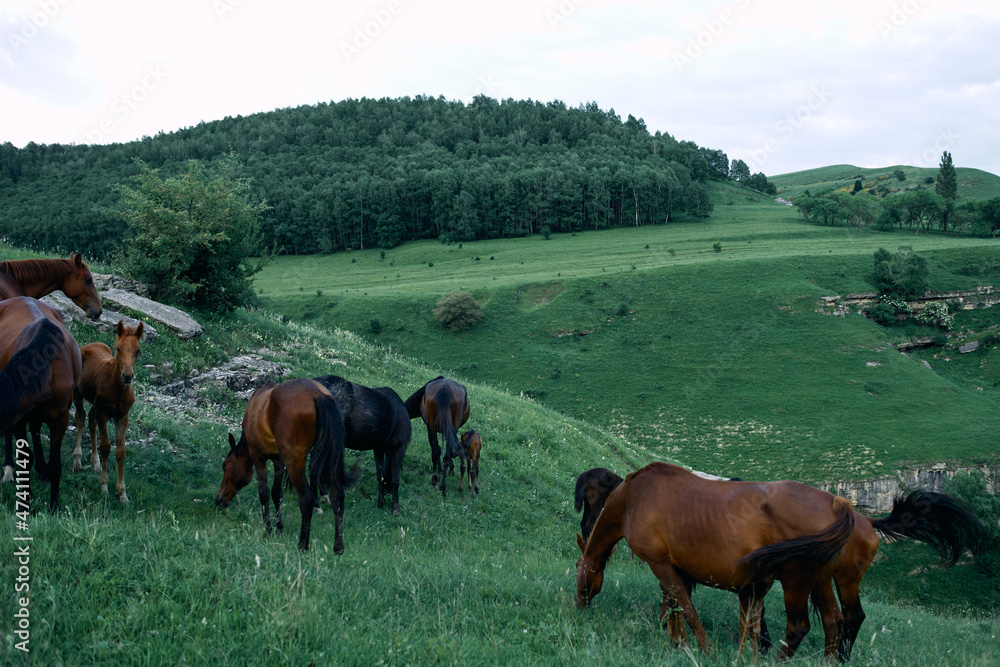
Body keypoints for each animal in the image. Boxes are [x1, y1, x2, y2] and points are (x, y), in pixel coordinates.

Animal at [0, 297, 82, 511]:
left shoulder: (60, 418)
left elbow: (55, 465)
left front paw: (54, 506)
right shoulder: (19, 419)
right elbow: (25, 458)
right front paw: (25, 503)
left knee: (36, 430)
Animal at [71, 320, 144, 503]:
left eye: (138, 350)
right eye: (118, 348)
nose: (127, 375)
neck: (117, 389)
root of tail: (88, 345)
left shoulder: (122, 417)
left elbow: (120, 451)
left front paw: (122, 494)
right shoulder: (103, 412)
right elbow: (105, 446)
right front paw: (104, 487)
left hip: (95, 405)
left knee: (91, 420)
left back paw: (95, 463)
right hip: (78, 393)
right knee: (81, 417)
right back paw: (77, 461)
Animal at [216, 378, 357, 553]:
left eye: (225, 465)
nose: (219, 499)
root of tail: (319, 395)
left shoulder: (258, 456)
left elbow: (264, 492)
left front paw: (268, 530)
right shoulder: (279, 461)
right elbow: (277, 493)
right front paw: (279, 527)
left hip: (295, 462)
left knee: (306, 499)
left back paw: (303, 544)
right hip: (330, 458)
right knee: (337, 496)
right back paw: (338, 547)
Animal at [312, 375, 411, 515]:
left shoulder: (379, 448)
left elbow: (380, 476)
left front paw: (381, 503)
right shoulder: (399, 448)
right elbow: (395, 480)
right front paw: (395, 508)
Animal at [576, 462, 855, 661]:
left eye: (579, 568)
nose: (579, 602)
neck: (631, 500)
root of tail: (835, 501)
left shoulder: (661, 565)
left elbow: (686, 610)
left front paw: (704, 649)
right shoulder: (675, 569)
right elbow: (674, 607)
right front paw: (677, 644)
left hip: (795, 582)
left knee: (797, 627)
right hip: (819, 581)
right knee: (833, 621)